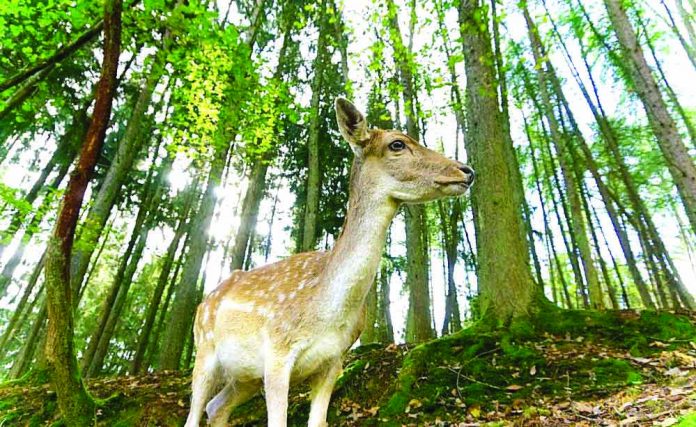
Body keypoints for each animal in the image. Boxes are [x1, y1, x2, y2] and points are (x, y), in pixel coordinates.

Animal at [186, 98, 474, 426]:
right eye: (397, 144)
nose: (466, 170)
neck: (325, 312)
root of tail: (203, 301)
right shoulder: (277, 351)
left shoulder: (334, 361)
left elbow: (318, 420)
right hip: (205, 349)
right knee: (195, 411)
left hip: (245, 376)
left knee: (216, 407)